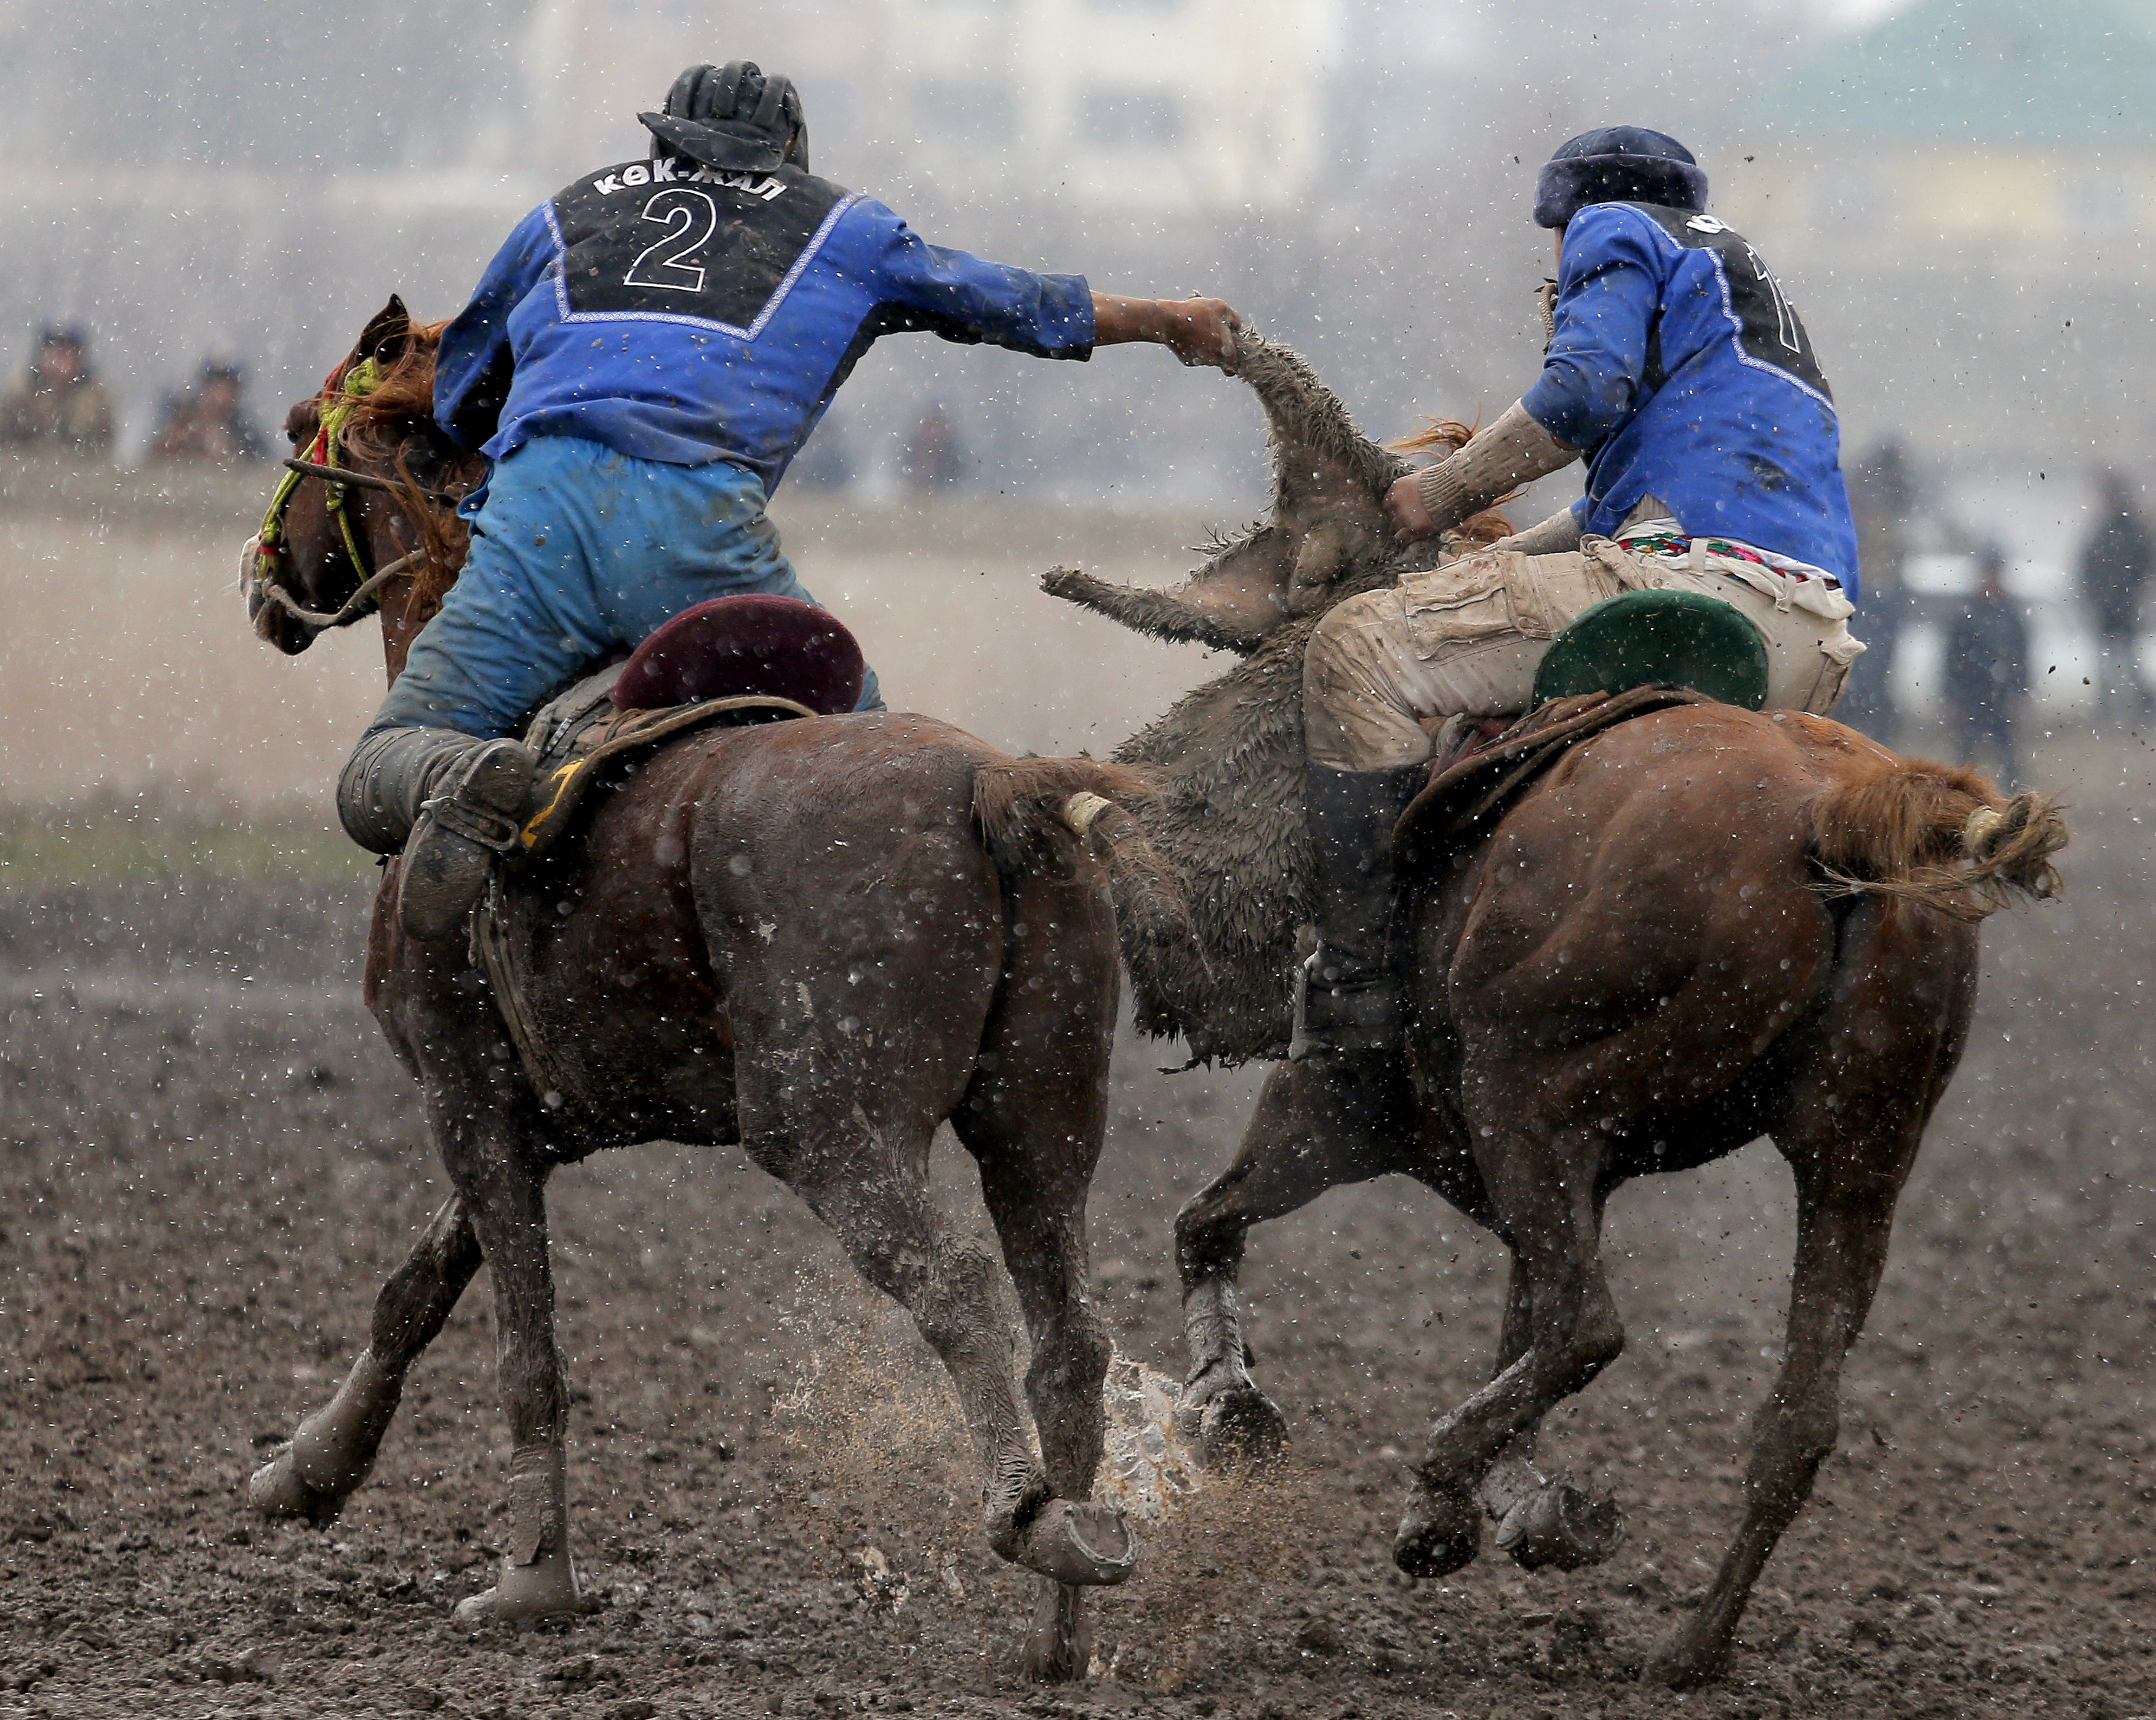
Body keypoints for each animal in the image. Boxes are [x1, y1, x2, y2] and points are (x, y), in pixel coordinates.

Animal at [246, 297, 1190, 1681]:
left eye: (305, 425)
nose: (262, 583)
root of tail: (989, 786)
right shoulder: (540, 1112)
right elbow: (418, 1285)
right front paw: (307, 1470)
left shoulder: (466, 1095)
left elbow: (525, 1348)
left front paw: (532, 1581)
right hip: (1040, 1123)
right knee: (1067, 1338)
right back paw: (1063, 1617)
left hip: (829, 1130)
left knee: (960, 1295)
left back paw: (1025, 1518)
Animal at [1043, 329, 2070, 1689]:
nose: (1126, 779)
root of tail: (1836, 810)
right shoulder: (1555, 1164)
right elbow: (1510, 1320)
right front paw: (1529, 1502)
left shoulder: (1344, 1107)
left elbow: (1210, 1223)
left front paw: (1251, 1414)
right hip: (1856, 1156)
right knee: (1793, 1416)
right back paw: (1687, 1643)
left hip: (1524, 1095)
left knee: (1591, 1323)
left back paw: (1439, 1474)